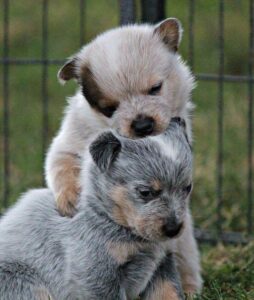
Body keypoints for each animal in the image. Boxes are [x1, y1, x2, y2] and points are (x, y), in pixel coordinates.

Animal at [0, 118, 193, 298]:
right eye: (145, 192)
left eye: (188, 188)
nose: (174, 229)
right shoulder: (95, 273)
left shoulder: (163, 264)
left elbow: (170, 292)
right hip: (22, 280)